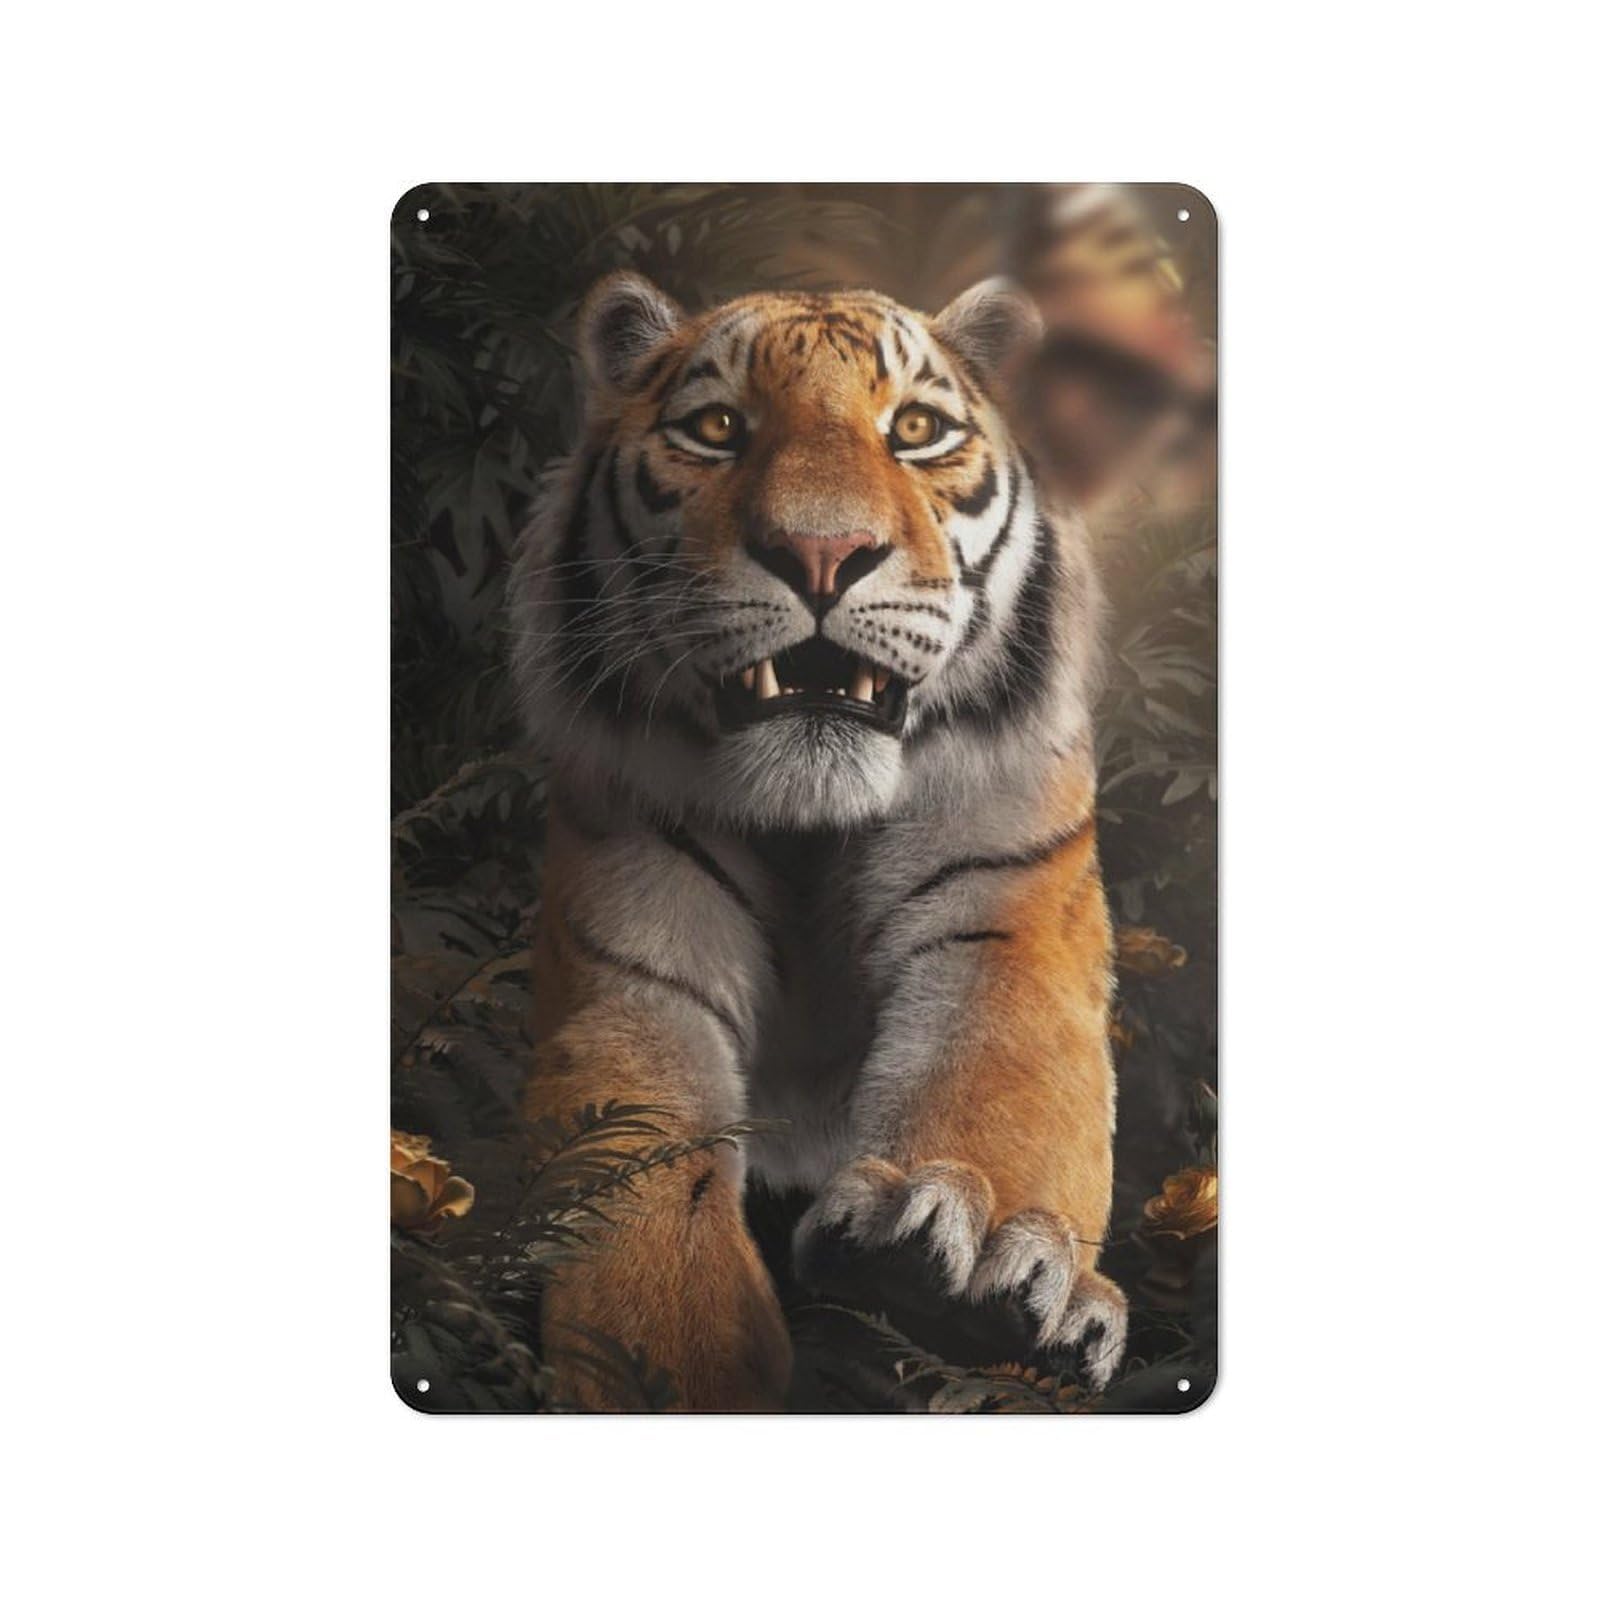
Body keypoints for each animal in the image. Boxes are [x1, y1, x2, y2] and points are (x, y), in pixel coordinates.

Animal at [509, 271, 1126, 1411]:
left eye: (916, 430)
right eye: (716, 429)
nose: (822, 554)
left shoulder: (1004, 923)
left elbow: (1001, 1082)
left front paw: (972, 1262)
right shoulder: (635, 974)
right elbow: (646, 1194)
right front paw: (670, 1366)